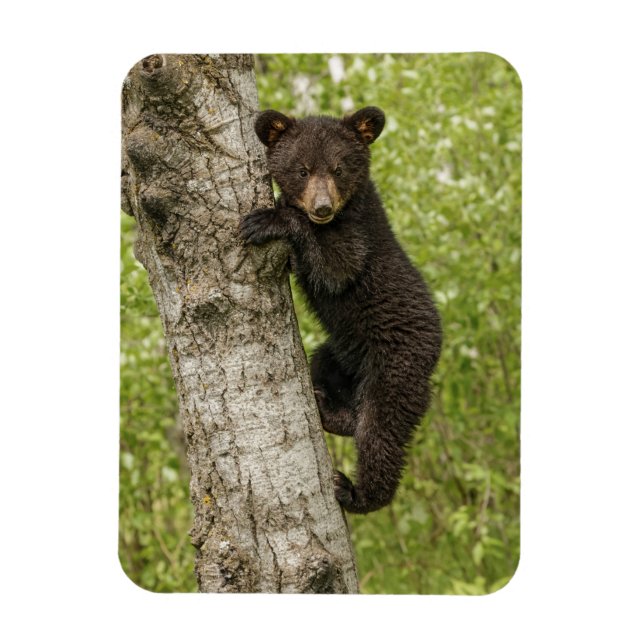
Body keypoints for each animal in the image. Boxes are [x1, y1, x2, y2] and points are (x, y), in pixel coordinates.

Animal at [240, 106, 442, 514]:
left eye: (338, 168)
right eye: (302, 170)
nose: (322, 207)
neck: (346, 209)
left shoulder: (359, 236)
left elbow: (337, 265)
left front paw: (268, 219)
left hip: (396, 368)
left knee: (381, 432)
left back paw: (357, 492)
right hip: (339, 353)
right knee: (329, 376)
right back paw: (328, 408)